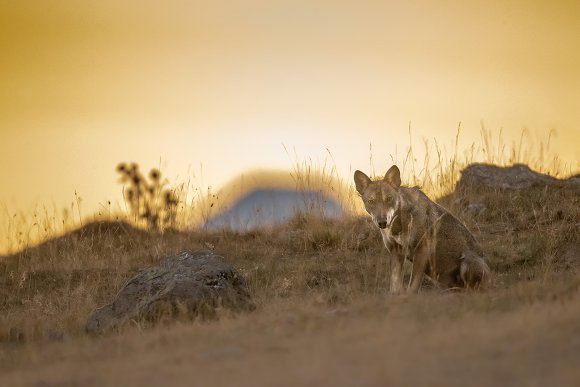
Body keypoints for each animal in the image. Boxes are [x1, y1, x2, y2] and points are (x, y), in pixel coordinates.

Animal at [354, 164, 490, 294]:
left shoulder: (421, 250)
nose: (382, 222)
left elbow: (413, 286)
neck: (398, 226)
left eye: (389, 198)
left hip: (467, 262)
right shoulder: (396, 251)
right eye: (371, 201)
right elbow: (395, 285)